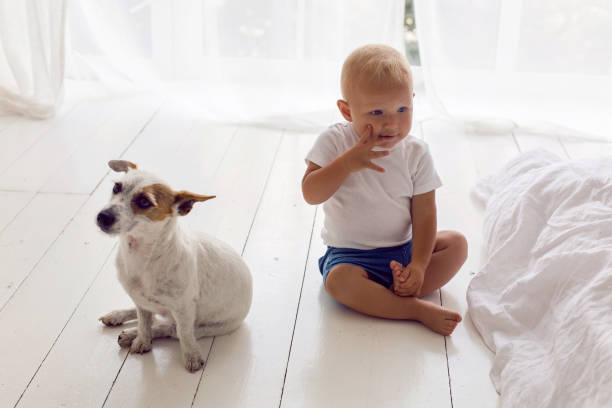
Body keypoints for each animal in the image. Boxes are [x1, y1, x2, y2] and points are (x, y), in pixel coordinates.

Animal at [97, 160, 252, 372]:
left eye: (144, 202)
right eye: (116, 187)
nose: (103, 216)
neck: (141, 256)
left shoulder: (184, 308)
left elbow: (183, 333)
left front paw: (191, 356)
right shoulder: (140, 300)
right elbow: (144, 322)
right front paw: (142, 339)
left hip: (212, 326)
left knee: (169, 328)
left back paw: (131, 333)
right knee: (150, 317)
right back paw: (119, 317)